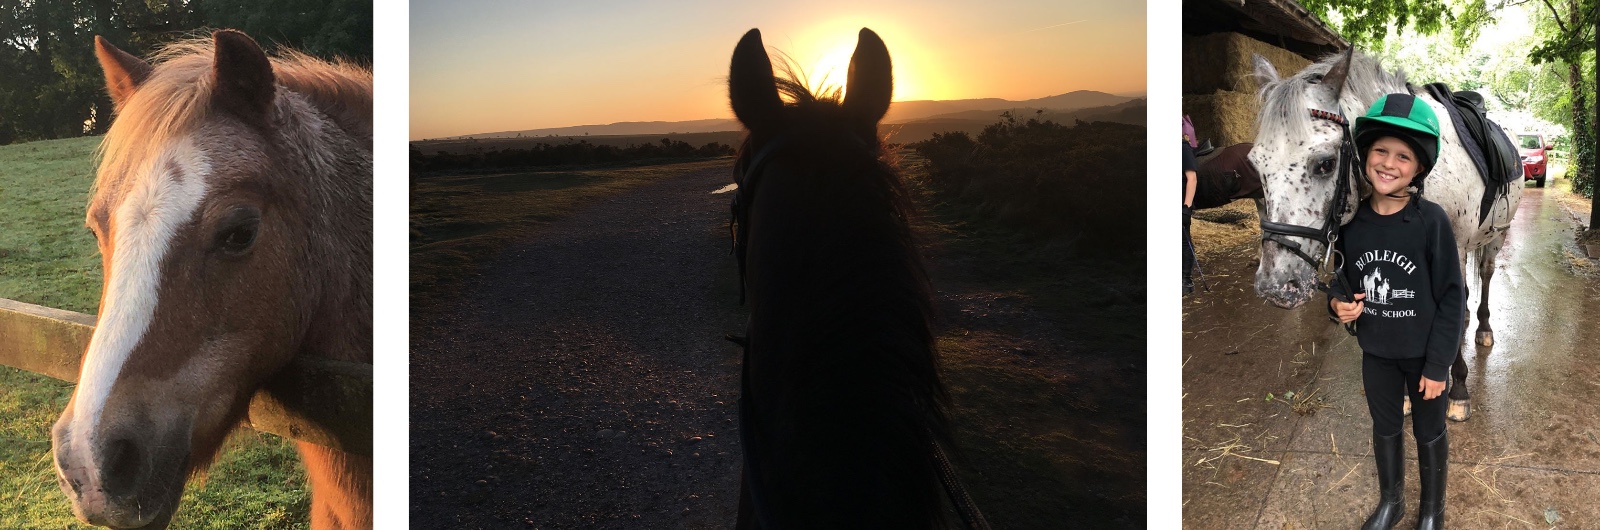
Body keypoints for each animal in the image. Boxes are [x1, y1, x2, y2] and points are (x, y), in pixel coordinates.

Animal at [1248, 48, 1521, 421]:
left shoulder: (1455, 246)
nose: (1275, 286)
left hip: (1495, 237)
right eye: (1255, 165)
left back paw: (1483, 329)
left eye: (1325, 163)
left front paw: (1459, 390)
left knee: (1486, 275)